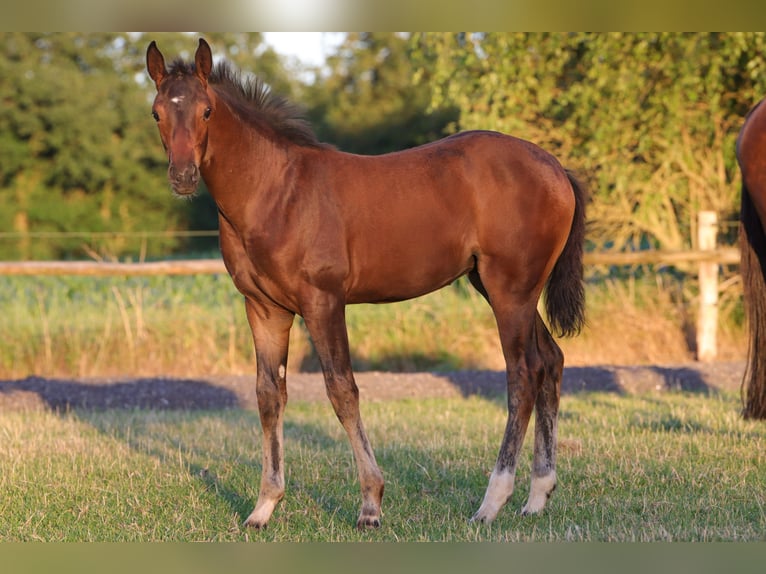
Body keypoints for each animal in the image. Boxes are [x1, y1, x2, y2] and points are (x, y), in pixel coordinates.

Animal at [146, 38, 586, 529]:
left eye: (206, 111)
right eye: (157, 113)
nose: (183, 177)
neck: (277, 193)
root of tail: (555, 167)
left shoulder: (323, 303)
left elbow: (342, 391)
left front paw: (371, 505)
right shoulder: (264, 309)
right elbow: (268, 395)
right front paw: (263, 507)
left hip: (510, 290)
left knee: (523, 374)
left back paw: (492, 502)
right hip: (505, 289)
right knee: (550, 362)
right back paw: (537, 496)